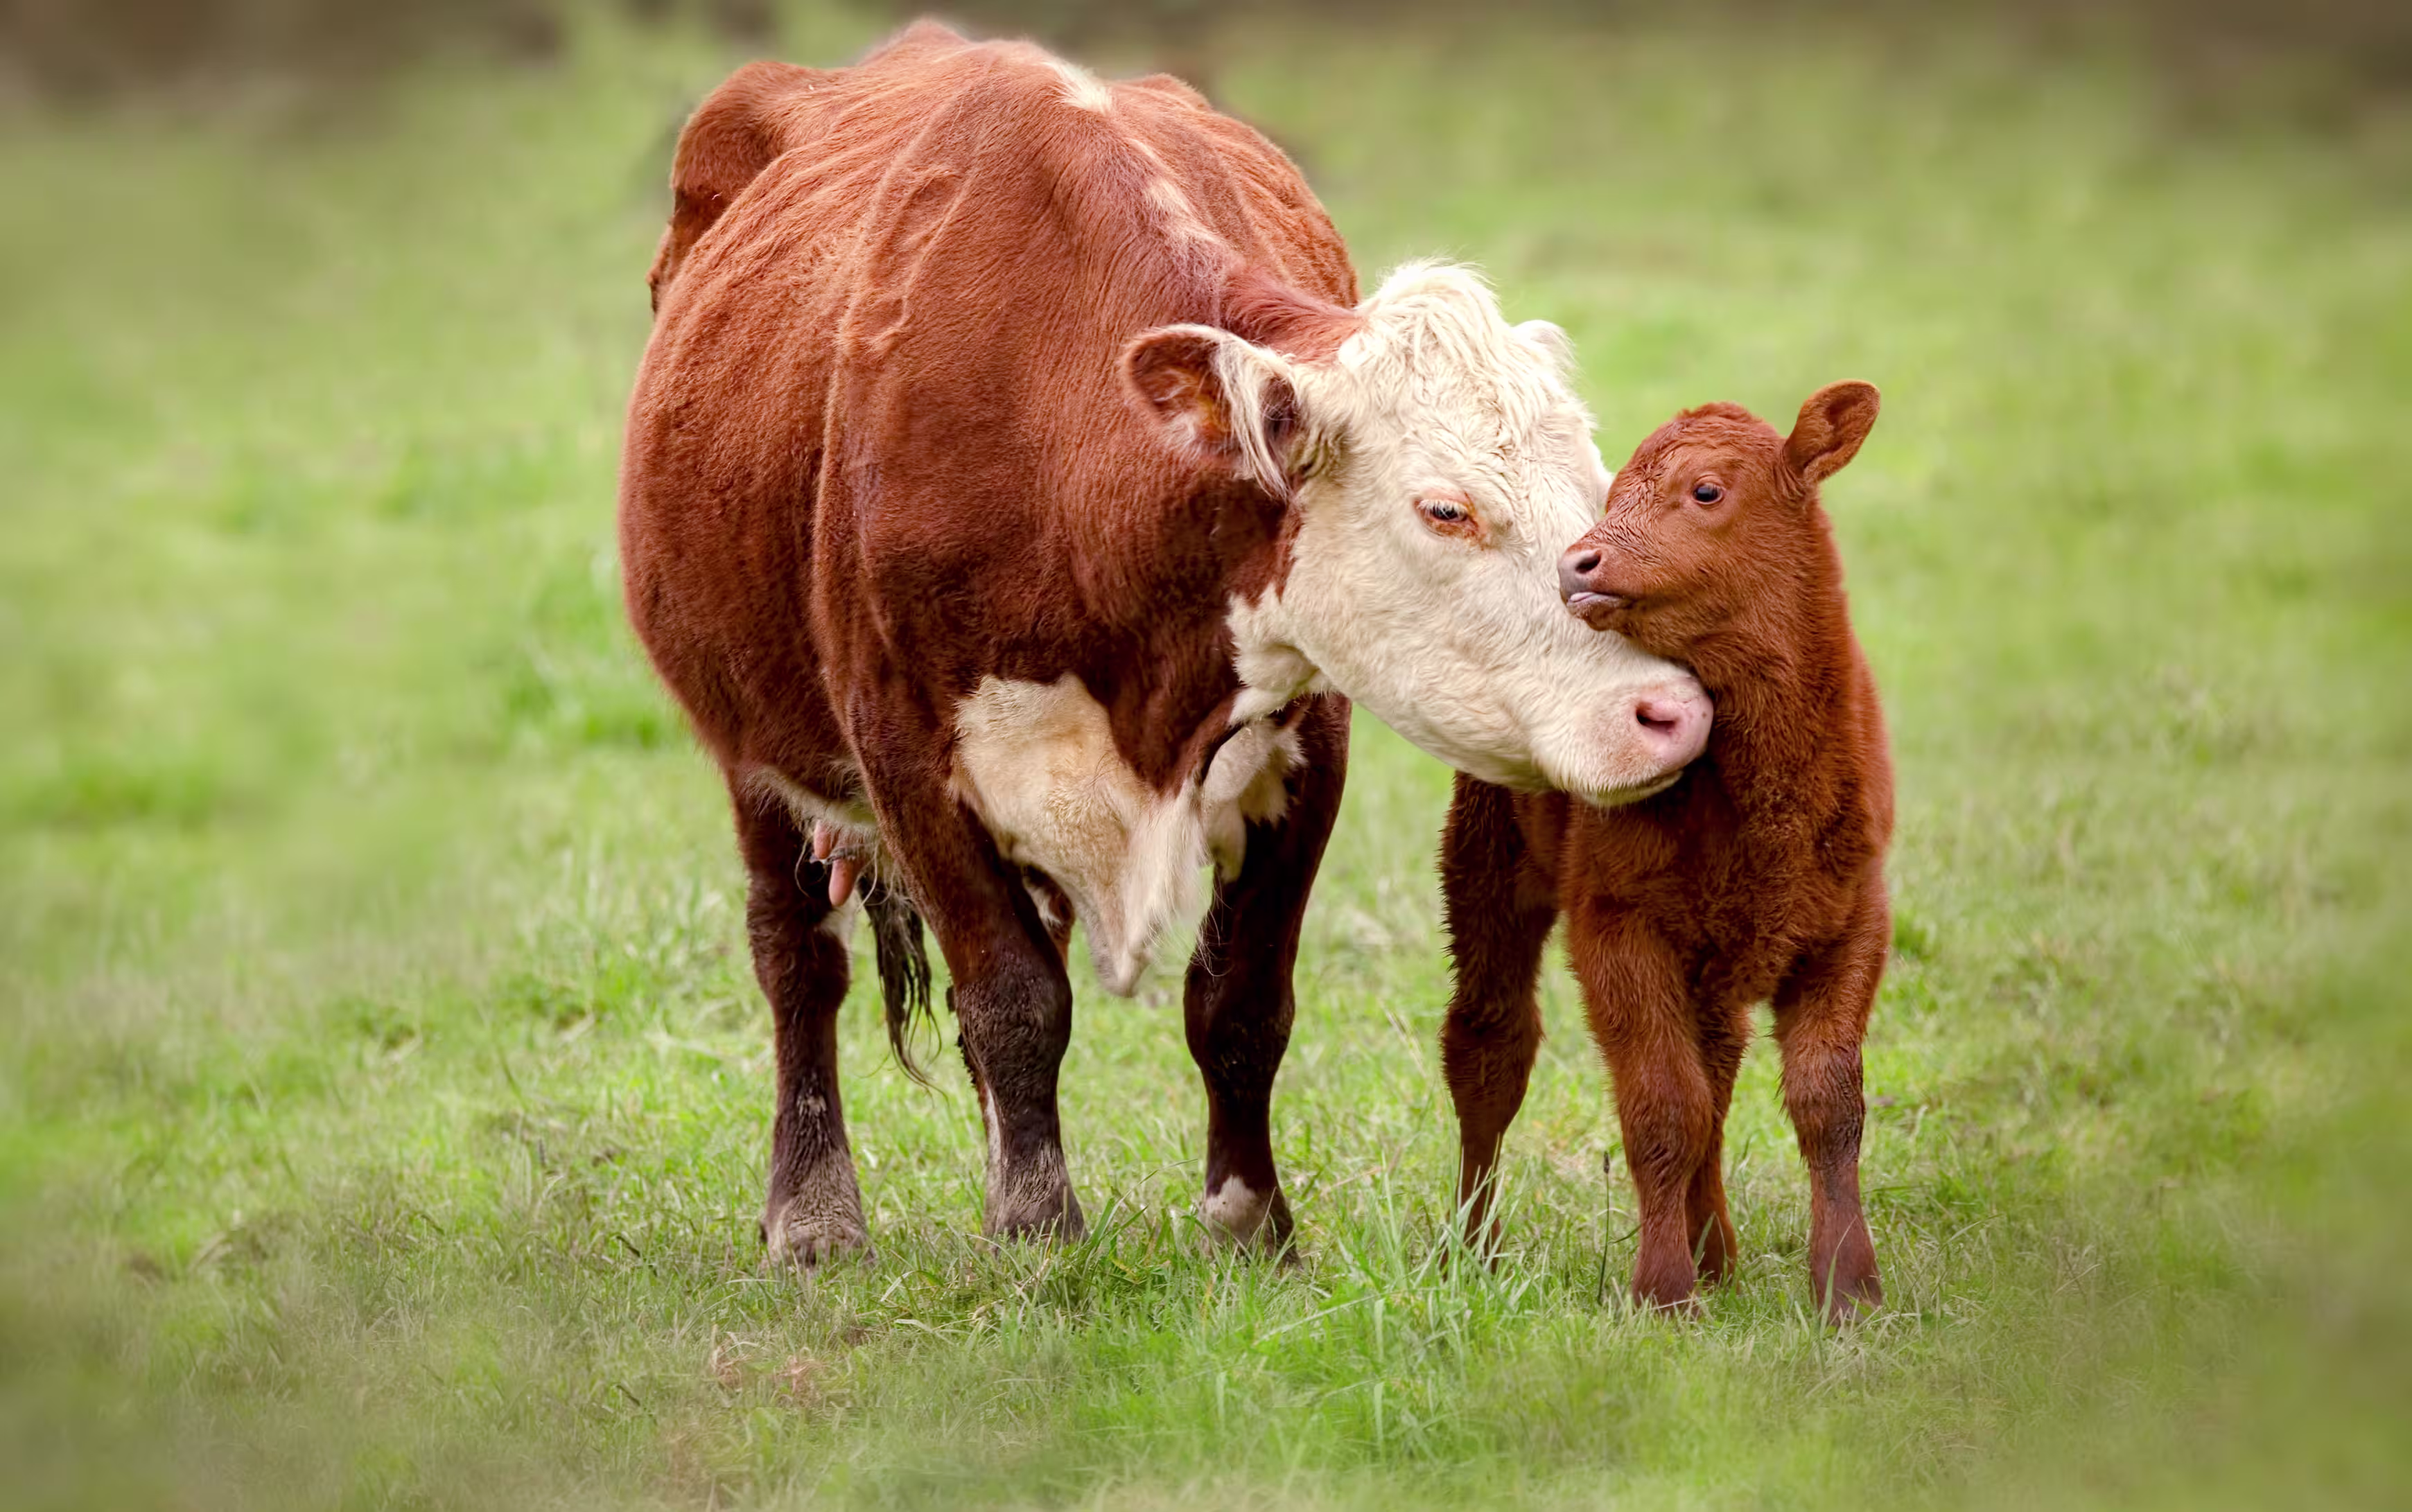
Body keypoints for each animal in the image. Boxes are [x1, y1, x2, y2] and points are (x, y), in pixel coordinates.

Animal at [619, 23, 1712, 1265]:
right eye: (1446, 508)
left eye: (1594, 488)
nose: (1668, 712)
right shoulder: (904, 753)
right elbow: (1013, 997)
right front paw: (1038, 1230)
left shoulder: (1308, 743)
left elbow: (1237, 1001)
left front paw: (1247, 1220)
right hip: (753, 743)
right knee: (798, 954)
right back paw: (813, 1210)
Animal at [1438, 383, 1890, 1322]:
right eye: (1611, 495)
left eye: (1707, 490)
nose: (1578, 563)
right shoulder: (1617, 926)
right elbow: (1661, 1107)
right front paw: (1662, 1291)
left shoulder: (1853, 920)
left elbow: (1827, 1104)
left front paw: (1848, 1285)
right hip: (1487, 860)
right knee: (1490, 1049)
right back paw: (1474, 1250)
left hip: (1717, 955)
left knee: (1716, 1071)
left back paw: (1717, 1252)